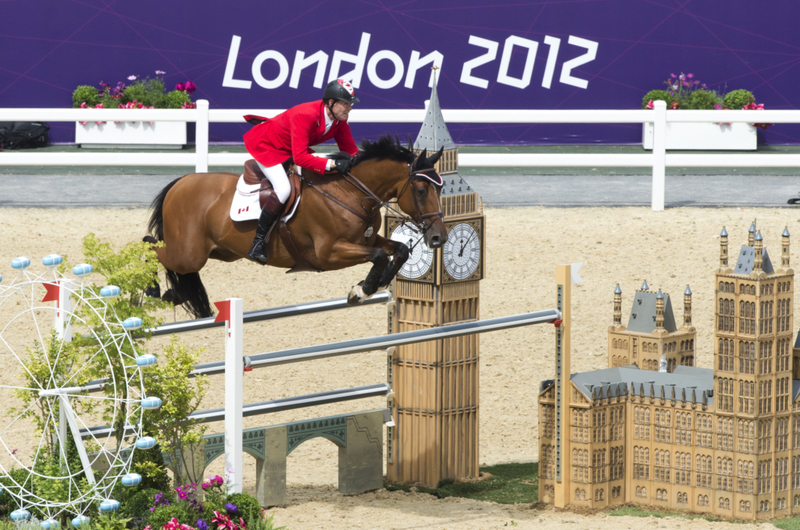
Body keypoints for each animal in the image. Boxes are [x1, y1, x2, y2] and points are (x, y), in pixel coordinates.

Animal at [147, 135, 446, 318]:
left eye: (441, 190)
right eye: (421, 191)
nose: (438, 238)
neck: (350, 194)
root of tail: (180, 182)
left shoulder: (367, 240)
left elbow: (398, 251)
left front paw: (373, 284)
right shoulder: (328, 254)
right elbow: (380, 255)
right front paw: (361, 290)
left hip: (220, 252)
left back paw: (174, 293)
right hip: (189, 254)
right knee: (151, 248)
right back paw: (151, 291)